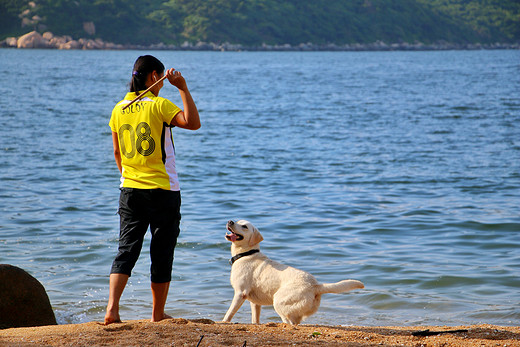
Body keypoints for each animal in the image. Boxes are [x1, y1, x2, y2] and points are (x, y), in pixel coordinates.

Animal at [221, 220, 364, 326]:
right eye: (238, 221)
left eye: (244, 226)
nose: (230, 221)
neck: (246, 254)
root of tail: (315, 286)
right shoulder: (255, 302)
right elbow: (255, 318)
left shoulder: (241, 293)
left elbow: (229, 312)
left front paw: (223, 322)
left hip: (278, 301)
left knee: (288, 321)